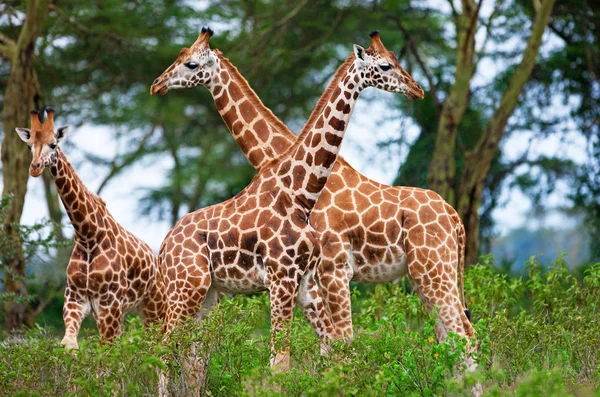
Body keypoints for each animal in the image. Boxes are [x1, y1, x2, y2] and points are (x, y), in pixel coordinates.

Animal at [16, 106, 166, 348]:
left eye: (53, 144)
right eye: (29, 145)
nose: (35, 168)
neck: (88, 235)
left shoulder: (109, 302)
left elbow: (108, 351)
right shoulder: (76, 299)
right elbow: (69, 344)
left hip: (154, 306)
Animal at [150, 27, 474, 346]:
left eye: (191, 63)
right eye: (387, 64)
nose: (157, 84)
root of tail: (455, 218)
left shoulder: (332, 269)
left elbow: (336, 341)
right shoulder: (321, 275)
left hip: (432, 269)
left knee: (462, 333)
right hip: (426, 274)